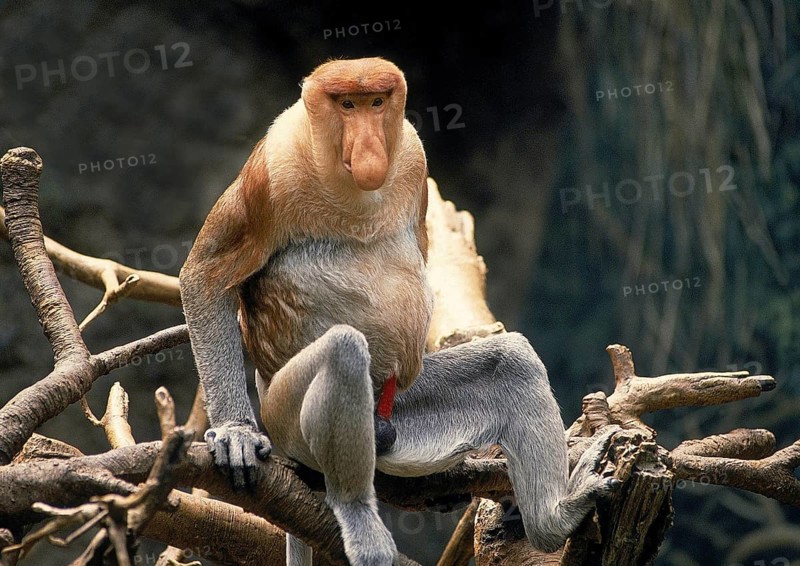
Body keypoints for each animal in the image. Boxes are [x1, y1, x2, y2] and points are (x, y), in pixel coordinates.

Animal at [179, 57, 618, 566]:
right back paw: (358, 517)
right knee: (344, 352)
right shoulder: (272, 168)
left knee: (513, 363)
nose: (369, 147)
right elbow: (206, 275)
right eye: (346, 105)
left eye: (376, 102)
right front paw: (236, 434)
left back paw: (556, 519)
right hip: (284, 416)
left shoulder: (410, 154)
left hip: (403, 413)